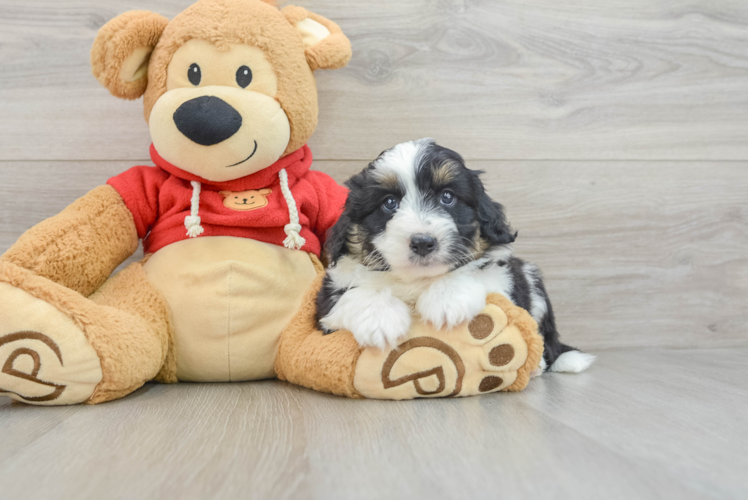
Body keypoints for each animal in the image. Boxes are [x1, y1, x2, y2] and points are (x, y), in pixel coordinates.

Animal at [316, 139, 596, 374]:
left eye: (447, 197)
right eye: (389, 203)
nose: (422, 242)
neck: (416, 280)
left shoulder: (503, 280)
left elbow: (478, 273)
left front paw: (446, 299)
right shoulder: (325, 305)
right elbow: (352, 295)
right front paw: (379, 319)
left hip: (531, 281)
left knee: (548, 338)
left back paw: (548, 363)